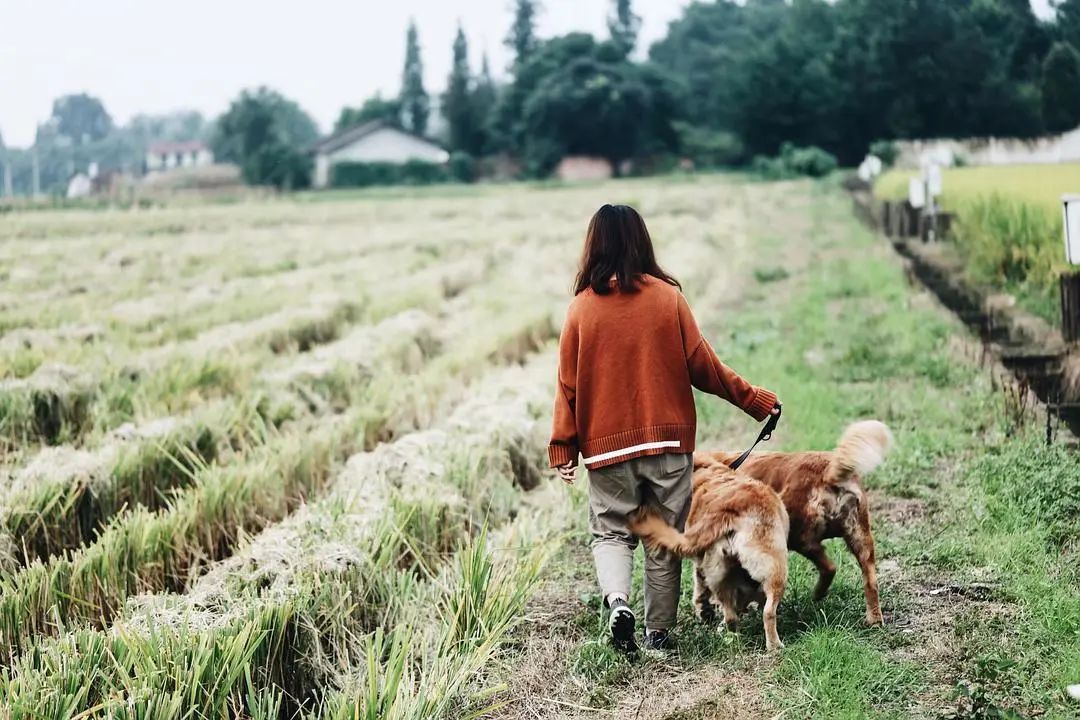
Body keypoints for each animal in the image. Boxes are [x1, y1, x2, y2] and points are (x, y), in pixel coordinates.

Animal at [630, 462, 790, 651]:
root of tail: (725, 511)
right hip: (775, 570)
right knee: (768, 612)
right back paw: (774, 645)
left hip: (719, 577)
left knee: (730, 616)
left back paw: (730, 634)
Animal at [695, 418, 889, 626]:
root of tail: (827, 472)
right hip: (860, 538)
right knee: (869, 579)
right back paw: (874, 619)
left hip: (797, 537)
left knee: (829, 567)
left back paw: (817, 594)